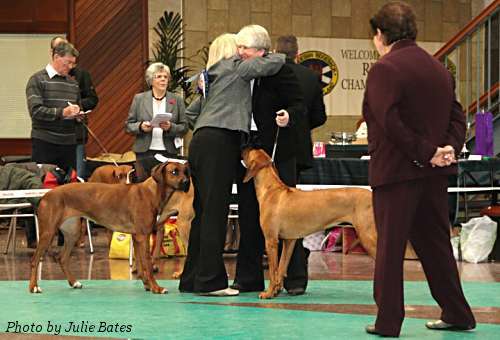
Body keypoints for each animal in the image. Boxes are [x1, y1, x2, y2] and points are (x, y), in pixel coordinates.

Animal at [29, 161, 189, 294]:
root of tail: (45, 195)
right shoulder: (143, 236)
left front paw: (147, 285)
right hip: (48, 232)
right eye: (174, 171)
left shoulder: (137, 237)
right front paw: (157, 288)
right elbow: (148, 265)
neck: (152, 191)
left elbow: (141, 264)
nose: (187, 182)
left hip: (72, 232)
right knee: (35, 260)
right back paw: (34, 287)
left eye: (185, 171)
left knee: (62, 258)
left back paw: (74, 282)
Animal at [240, 147, 376, 298]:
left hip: (367, 236)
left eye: (250, 150)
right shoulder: (290, 240)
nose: (244, 147)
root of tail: (371, 194)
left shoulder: (271, 240)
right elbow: (281, 267)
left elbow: (273, 270)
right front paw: (276, 290)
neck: (271, 190)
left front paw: (268, 293)